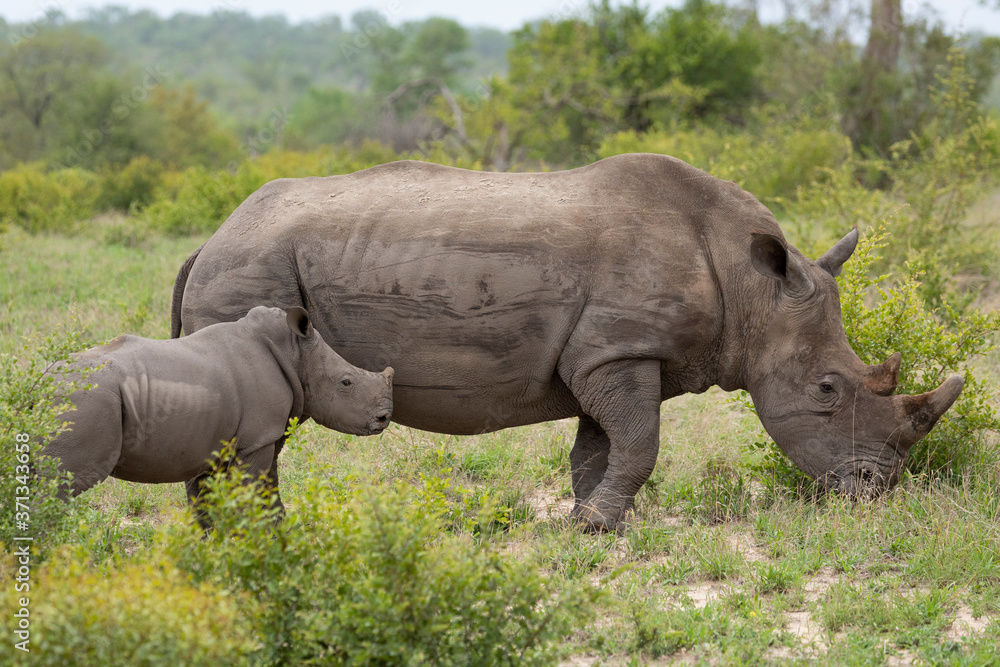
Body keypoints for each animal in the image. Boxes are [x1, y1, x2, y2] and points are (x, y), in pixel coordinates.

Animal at [44, 306, 394, 518]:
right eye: (346, 382)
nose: (384, 418)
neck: (295, 353)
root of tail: (41, 380)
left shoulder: (211, 444)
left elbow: (209, 504)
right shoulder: (256, 440)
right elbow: (252, 492)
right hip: (83, 400)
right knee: (59, 486)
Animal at [171, 154, 963, 531]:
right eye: (827, 388)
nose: (876, 490)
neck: (750, 288)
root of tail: (212, 235)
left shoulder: (606, 355)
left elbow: (600, 447)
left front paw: (591, 521)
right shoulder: (620, 349)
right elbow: (639, 443)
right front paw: (598, 528)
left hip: (254, 266)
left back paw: (231, 535)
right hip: (253, 268)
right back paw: (255, 534)